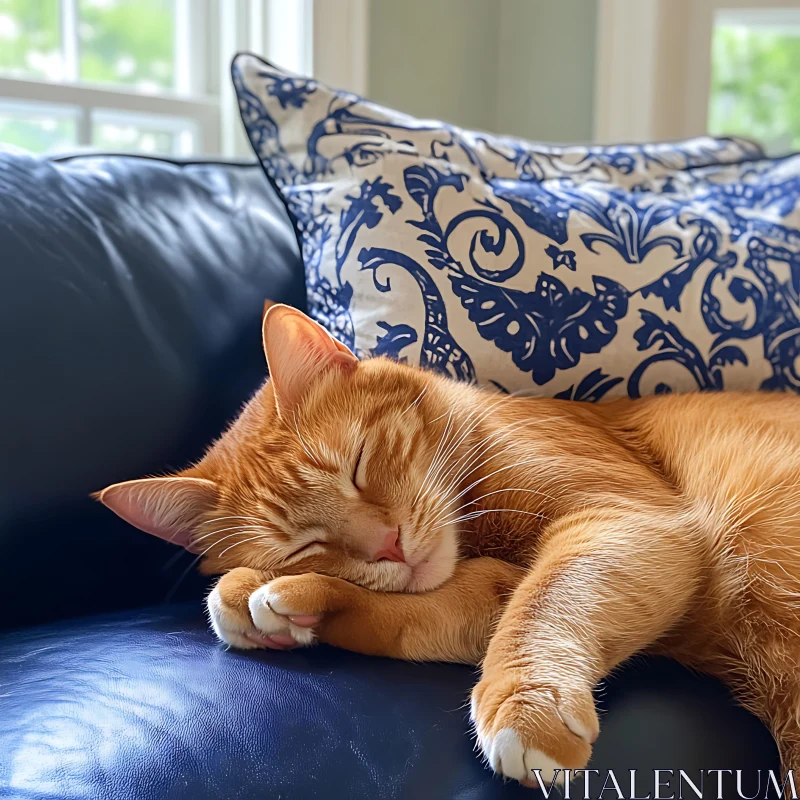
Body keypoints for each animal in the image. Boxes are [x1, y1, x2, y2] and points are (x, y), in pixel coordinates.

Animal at [98, 304, 800, 784]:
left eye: (358, 465)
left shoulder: (629, 520)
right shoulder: (489, 591)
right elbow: (415, 620)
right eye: (300, 546)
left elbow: (549, 601)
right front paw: (282, 602)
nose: (388, 546)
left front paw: (526, 705)